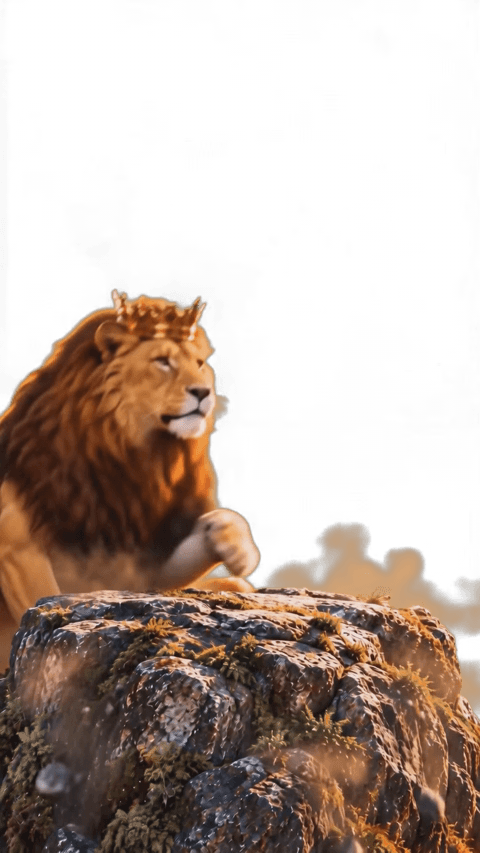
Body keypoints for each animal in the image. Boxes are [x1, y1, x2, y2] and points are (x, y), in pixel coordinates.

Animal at [0, 291, 260, 667]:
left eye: (199, 363)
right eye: (162, 361)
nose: (203, 392)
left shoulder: (139, 560)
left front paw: (234, 545)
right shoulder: (16, 548)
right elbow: (43, 604)